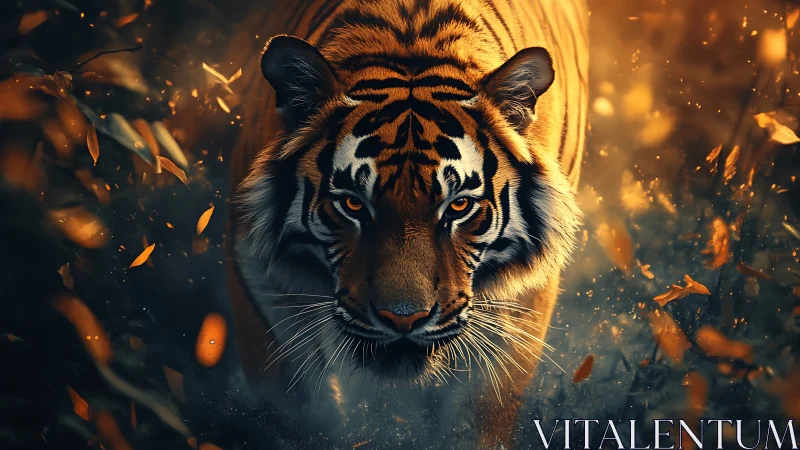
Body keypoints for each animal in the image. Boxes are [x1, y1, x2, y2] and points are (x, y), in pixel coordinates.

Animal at [223, 0, 588, 447]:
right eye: (353, 203)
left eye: (459, 205)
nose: (402, 319)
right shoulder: (262, 285)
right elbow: (296, 412)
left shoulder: (519, 307)